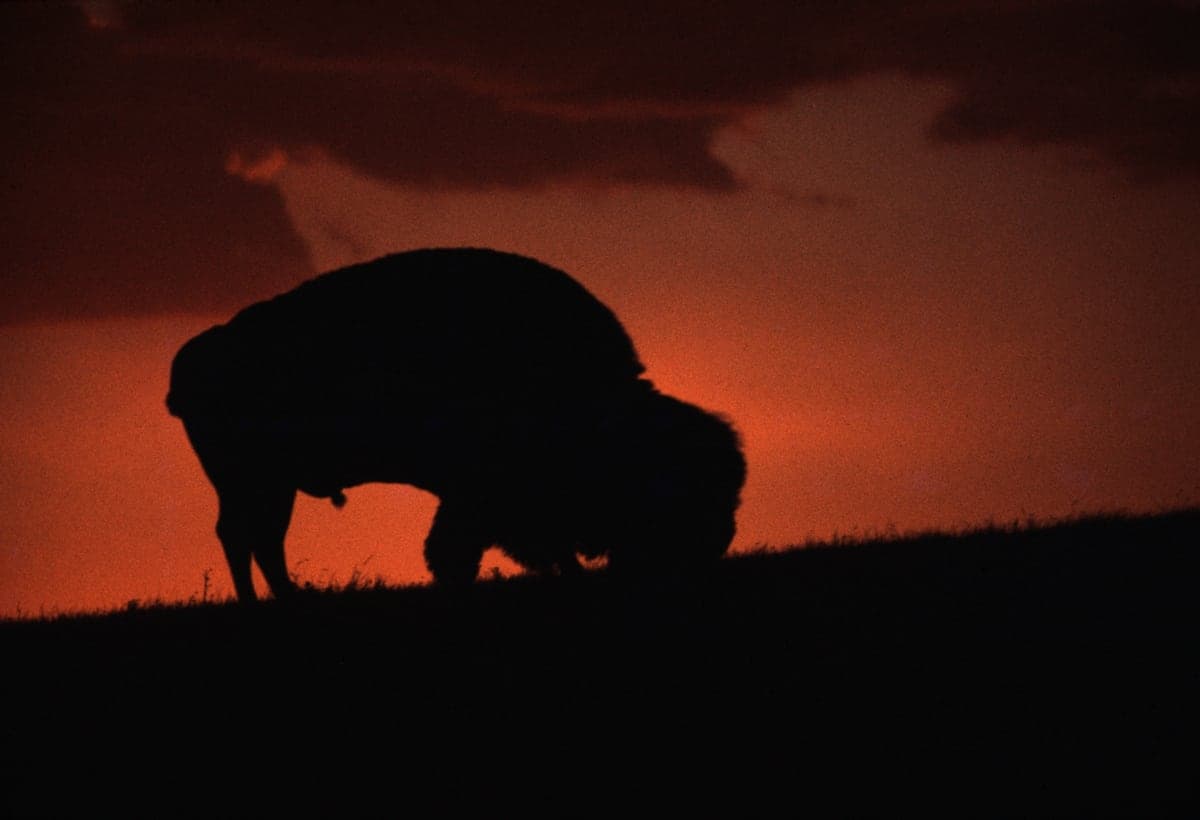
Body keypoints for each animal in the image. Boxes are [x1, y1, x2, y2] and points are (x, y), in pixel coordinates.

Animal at [167, 248, 745, 601]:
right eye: (681, 490)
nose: (714, 545)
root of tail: (197, 355)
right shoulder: (480, 494)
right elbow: (459, 549)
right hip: (252, 481)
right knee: (246, 535)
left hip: (267, 484)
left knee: (257, 537)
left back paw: (284, 599)